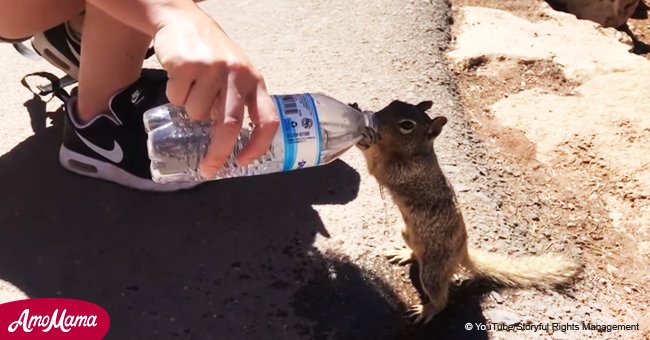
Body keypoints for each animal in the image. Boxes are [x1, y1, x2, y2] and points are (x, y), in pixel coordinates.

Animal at [352, 99, 580, 324]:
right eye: (393, 103)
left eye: (407, 125)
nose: (374, 118)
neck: (417, 153)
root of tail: (462, 251)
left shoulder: (402, 172)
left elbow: (375, 166)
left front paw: (363, 138)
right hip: (407, 232)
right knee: (417, 253)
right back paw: (405, 253)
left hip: (433, 272)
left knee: (441, 299)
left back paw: (427, 309)